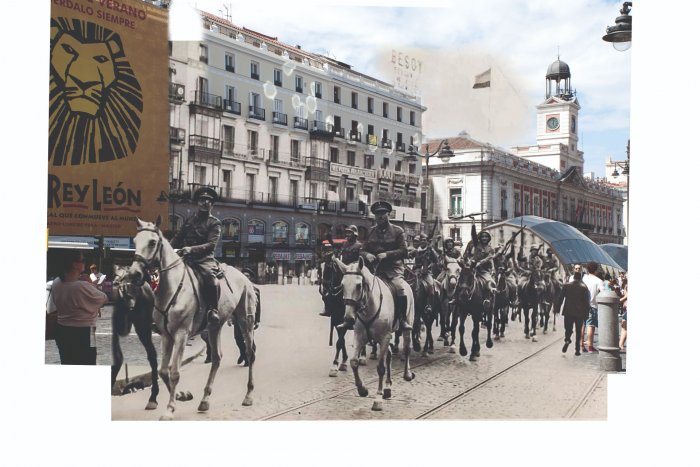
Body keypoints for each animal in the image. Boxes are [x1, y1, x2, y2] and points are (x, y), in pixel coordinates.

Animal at [127, 218, 256, 422]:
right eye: (135, 240)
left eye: (152, 242)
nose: (134, 274)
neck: (172, 288)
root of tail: (244, 276)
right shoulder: (166, 336)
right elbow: (164, 371)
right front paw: (182, 395)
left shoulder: (181, 334)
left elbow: (174, 372)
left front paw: (170, 409)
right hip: (215, 326)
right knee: (217, 358)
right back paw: (205, 400)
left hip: (245, 321)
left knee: (250, 353)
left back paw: (248, 395)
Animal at [334, 256, 416, 414]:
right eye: (342, 285)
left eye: (359, 286)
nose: (348, 318)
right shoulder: (360, 336)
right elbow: (354, 362)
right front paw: (362, 389)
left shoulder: (384, 338)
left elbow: (380, 368)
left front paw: (377, 399)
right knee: (389, 355)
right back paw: (388, 388)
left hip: (406, 325)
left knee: (407, 349)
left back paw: (407, 374)